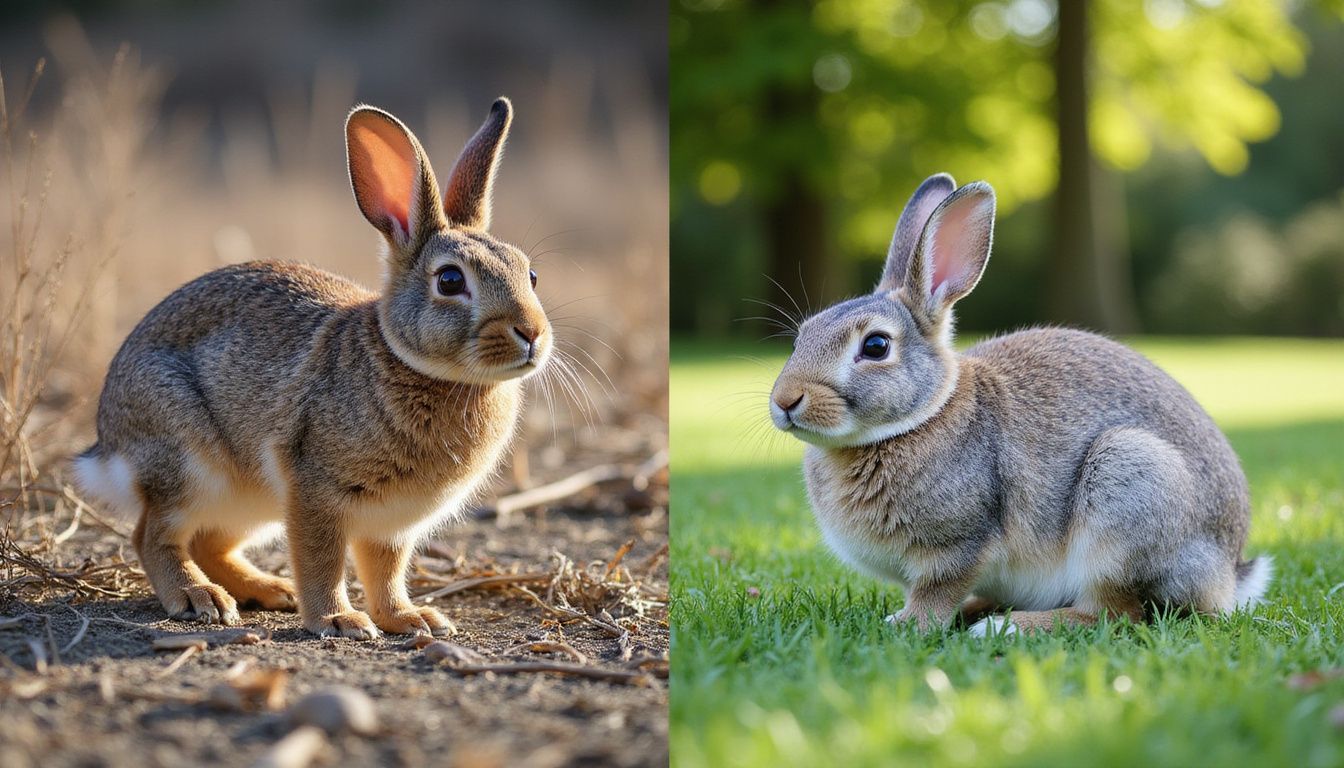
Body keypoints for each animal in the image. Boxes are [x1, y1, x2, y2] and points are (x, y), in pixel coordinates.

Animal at [72, 98, 551, 639]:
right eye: (450, 281)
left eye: (530, 274)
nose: (532, 333)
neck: (415, 365)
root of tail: (106, 443)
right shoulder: (314, 491)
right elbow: (322, 561)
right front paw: (339, 620)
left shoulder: (392, 525)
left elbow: (386, 572)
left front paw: (411, 619)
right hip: (187, 463)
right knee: (153, 534)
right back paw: (200, 598)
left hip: (252, 502)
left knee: (208, 542)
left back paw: (268, 590)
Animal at [769, 173, 1271, 636]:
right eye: (802, 337)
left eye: (875, 346)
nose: (785, 401)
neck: (921, 417)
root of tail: (1229, 573)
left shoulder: (960, 543)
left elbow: (937, 590)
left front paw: (908, 624)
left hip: (1128, 483)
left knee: (1113, 613)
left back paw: (1005, 627)